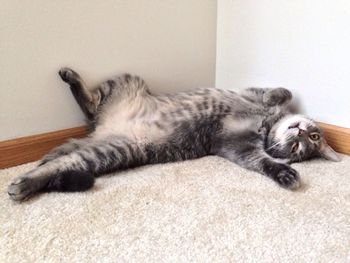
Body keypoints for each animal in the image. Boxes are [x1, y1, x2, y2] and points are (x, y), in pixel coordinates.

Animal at [8, 68, 340, 202]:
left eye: (298, 149)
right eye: (311, 138)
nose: (301, 131)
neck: (265, 125)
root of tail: (100, 129)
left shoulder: (240, 149)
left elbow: (266, 162)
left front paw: (283, 172)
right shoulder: (250, 92)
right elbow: (282, 91)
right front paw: (277, 99)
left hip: (106, 152)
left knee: (59, 164)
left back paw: (26, 184)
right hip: (127, 81)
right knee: (90, 102)